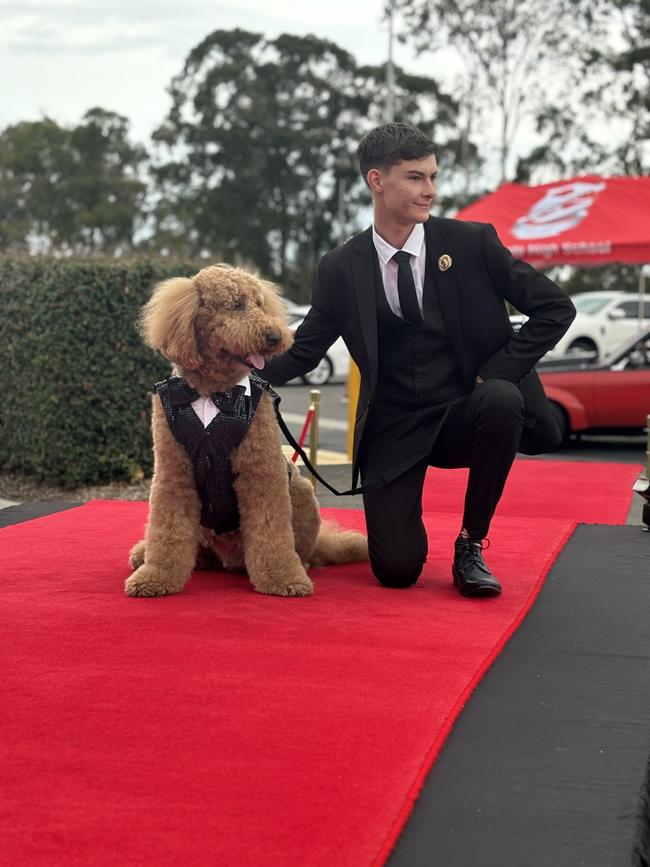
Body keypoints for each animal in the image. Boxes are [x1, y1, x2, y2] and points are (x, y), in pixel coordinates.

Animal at [126, 264, 368, 600]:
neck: (213, 392)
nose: (275, 336)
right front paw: (154, 577)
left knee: (301, 550)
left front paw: (283, 578)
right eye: (237, 305)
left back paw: (298, 564)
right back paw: (149, 554)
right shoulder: (173, 474)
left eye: (259, 304)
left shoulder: (261, 472)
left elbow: (271, 531)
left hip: (302, 491)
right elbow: (167, 530)